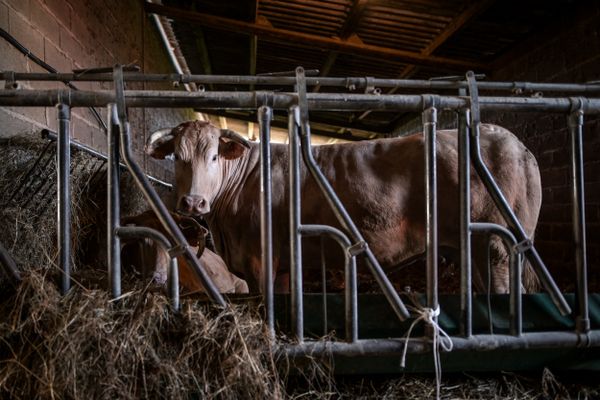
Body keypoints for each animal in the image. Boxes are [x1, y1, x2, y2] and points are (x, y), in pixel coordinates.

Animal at [146, 120, 544, 296]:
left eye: (214, 156)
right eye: (178, 157)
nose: (193, 202)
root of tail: (513, 142)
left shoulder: (262, 258)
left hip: (497, 244)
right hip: (475, 248)